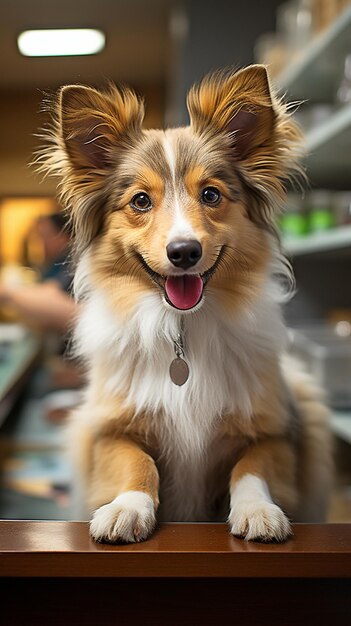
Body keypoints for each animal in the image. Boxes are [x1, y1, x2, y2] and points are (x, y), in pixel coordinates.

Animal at [38, 66, 332, 540]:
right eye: (140, 200)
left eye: (211, 194)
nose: (184, 252)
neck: (182, 328)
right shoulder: (105, 431)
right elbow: (135, 461)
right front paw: (127, 508)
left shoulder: (279, 431)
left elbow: (252, 467)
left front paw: (258, 511)